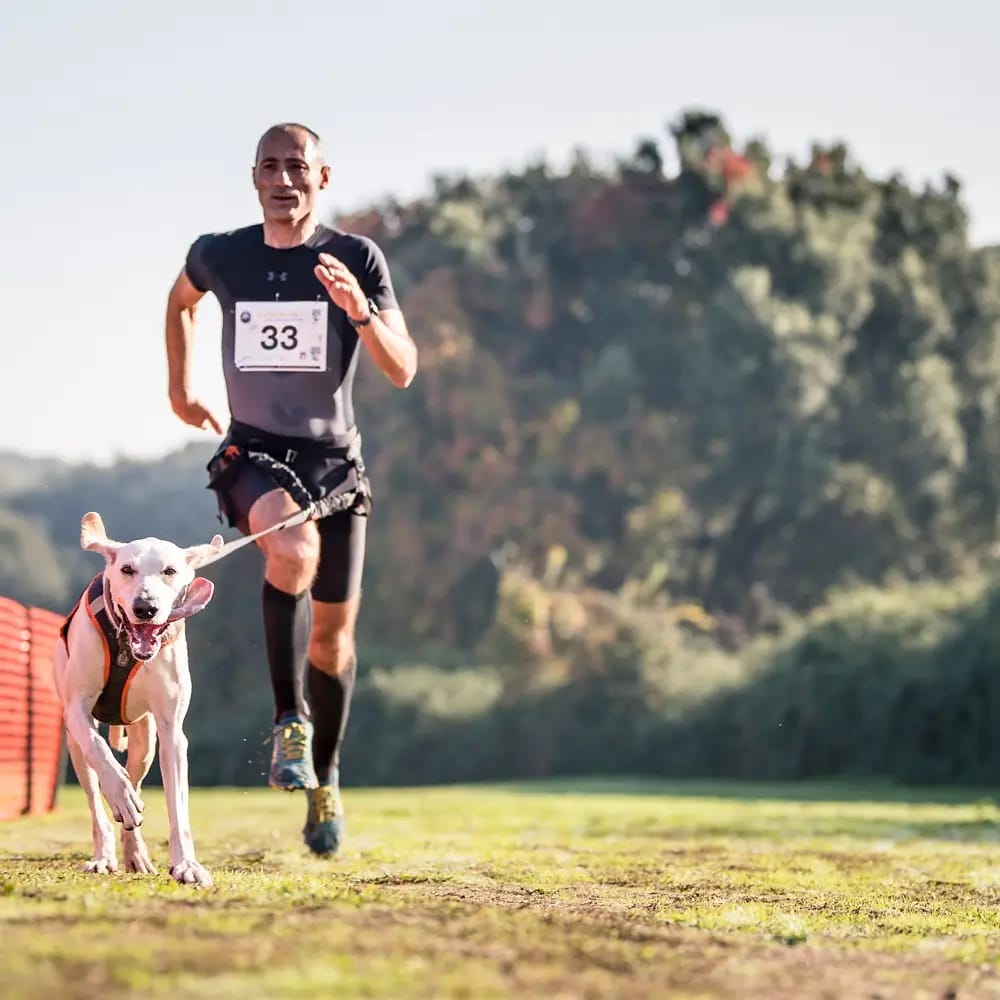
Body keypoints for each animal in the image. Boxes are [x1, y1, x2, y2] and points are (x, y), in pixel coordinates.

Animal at [52, 512, 223, 888]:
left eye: (170, 571)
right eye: (127, 569)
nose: (146, 607)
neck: (125, 645)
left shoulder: (171, 730)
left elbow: (178, 803)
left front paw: (186, 865)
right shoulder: (77, 709)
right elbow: (100, 751)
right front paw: (120, 795)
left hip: (145, 743)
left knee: (137, 774)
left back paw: (135, 853)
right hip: (74, 747)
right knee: (95, 798)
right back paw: (104, 854)